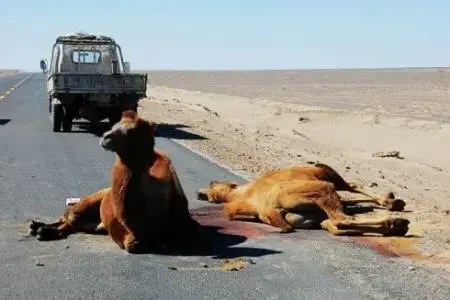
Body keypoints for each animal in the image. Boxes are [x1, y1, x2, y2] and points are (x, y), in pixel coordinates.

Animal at [29, 110, 200, 253]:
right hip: (88, 202)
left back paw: (42, 231)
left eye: (132, 131)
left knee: (73, 224)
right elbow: (131, 244)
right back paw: (37, 228)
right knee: (69, 216)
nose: (106, 137)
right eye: (114, 125)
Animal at [197, 164, 412, 237]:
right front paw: (392, 201)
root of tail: (267, 210)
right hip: (322, 190)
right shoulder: (331, 179)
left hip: (312, 216)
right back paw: (397, 223)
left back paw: (395, 225)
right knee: (340, 219)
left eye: (214, 187)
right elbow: (354, 189)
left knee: (335, 225)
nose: (200, 193)